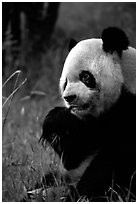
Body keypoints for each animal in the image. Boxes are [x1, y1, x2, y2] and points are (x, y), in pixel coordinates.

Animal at [40, 26, 136, 201]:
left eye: (85, 76)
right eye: (65, 82)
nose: (69, 98)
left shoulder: (129, 110)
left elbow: (114, 162)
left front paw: (81, 195)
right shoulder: (90, 126)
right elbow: (74, 155)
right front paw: (57, 120)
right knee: (50, 177)